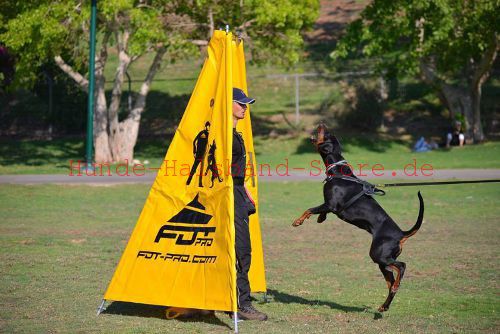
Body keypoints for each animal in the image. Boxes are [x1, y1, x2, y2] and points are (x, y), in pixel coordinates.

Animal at [292, 124, 426, 312]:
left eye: (326, 133)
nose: (321, 124)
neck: (338, 171)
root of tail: (401, 234)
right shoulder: (330, 206)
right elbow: (320, 211)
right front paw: (320, 219)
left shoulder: (332, 204)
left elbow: (310, 209)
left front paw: (298, 221)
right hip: (382, 260)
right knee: (391, 281)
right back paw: (384, 305)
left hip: (379, 254)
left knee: (402, 266)